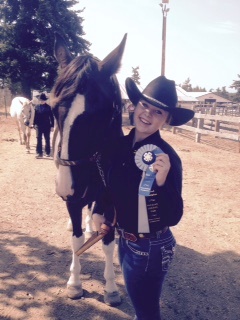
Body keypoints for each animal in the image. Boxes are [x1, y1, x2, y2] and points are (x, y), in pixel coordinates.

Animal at [50, 33, 127, 304]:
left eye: (97, 114)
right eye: (53, 108)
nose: (66, 187)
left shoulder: (110, 200)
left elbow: (107, 243)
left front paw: (111, 287)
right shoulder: (73, 200)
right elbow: (77, 240)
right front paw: (74, 283)